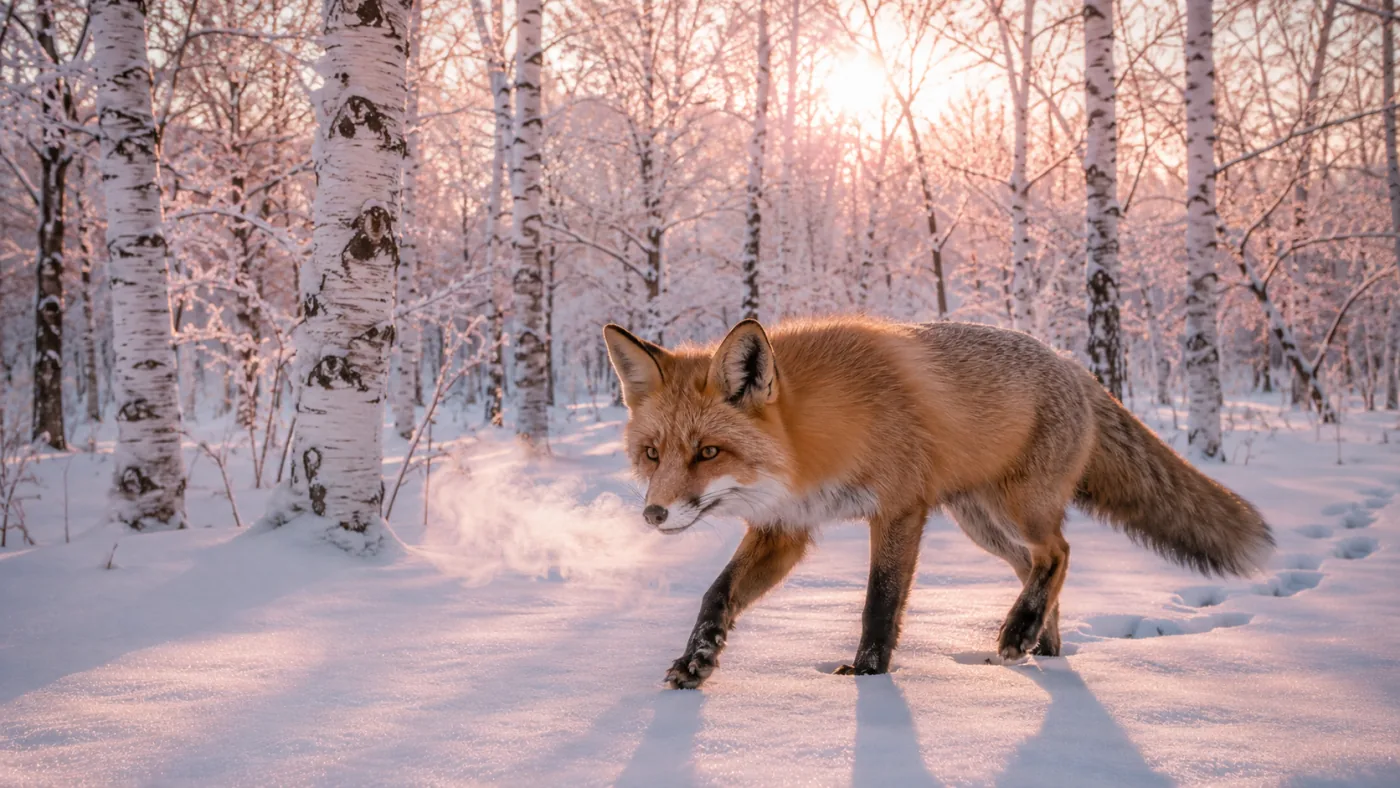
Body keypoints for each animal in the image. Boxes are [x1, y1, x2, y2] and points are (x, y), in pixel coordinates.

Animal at [602, 316, 1273, 689]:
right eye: (653, 454)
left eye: (709, 452)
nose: (654, 514)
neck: (816, 437)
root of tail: (1076, 367)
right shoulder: (784, 527)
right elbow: (717, 594)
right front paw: (696, 661)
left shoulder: (900, 508)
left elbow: (880, 603)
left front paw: (867, 678)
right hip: (982, 523)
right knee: (1037, 567)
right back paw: (1043, 644)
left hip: (1018, 506)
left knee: (1059, 552)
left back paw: (1020, 632)